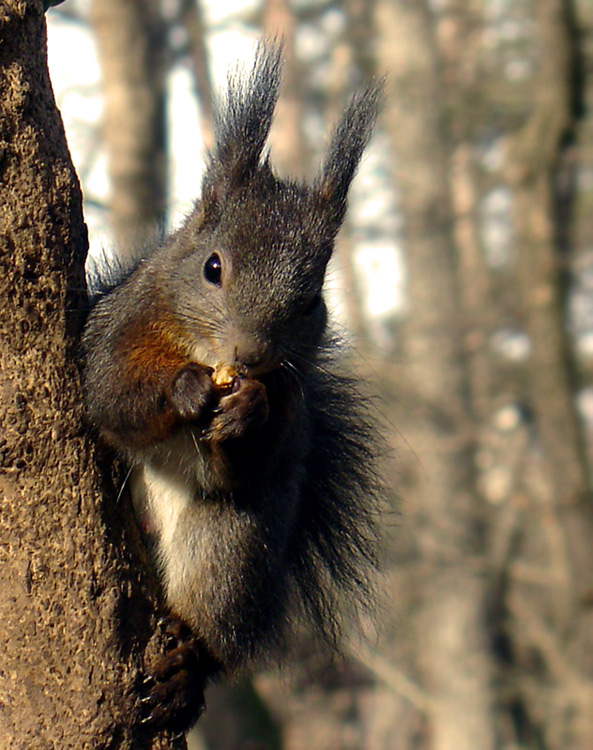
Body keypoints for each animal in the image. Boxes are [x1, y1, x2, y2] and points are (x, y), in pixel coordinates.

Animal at [82, 39, 384, 736]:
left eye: (310, 301)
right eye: (212, 266)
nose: (249, 355)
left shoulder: (291, 404)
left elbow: (253, 455)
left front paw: (246, 410)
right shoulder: (120, 328)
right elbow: (111, 391)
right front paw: (185, 388)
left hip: (234, 548)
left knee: (215, 633)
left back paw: (184, 669)